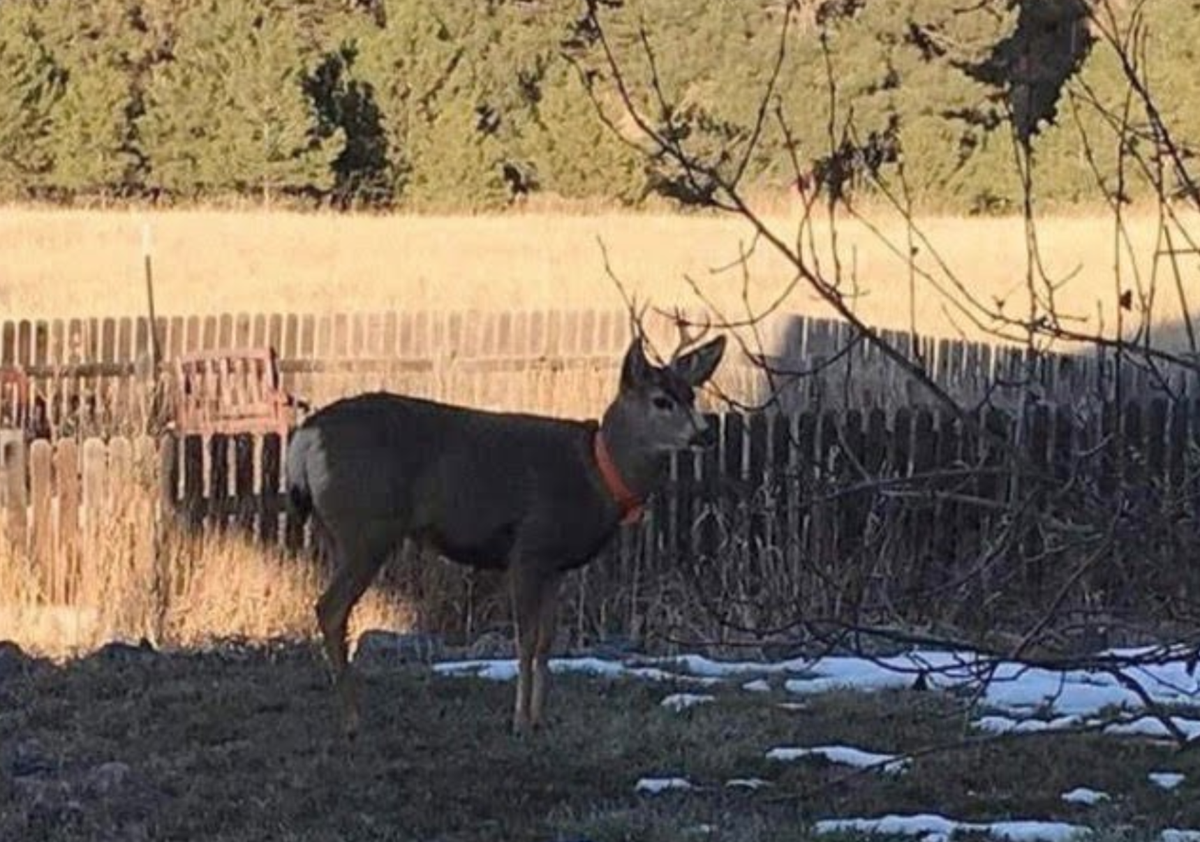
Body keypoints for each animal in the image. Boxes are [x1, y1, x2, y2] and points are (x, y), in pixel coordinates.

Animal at [283, 323, 727, 738]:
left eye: (692, 395)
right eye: (661, 400)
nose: (705, 433)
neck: (599, 474)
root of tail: (307, 435)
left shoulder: (556, 566)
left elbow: (547, 643)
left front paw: (539, 719)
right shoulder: (528, 548)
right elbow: (526, 640)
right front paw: (518, 721)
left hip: (335, 531)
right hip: (367, 526)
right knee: (330, 608)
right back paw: (352, 720)